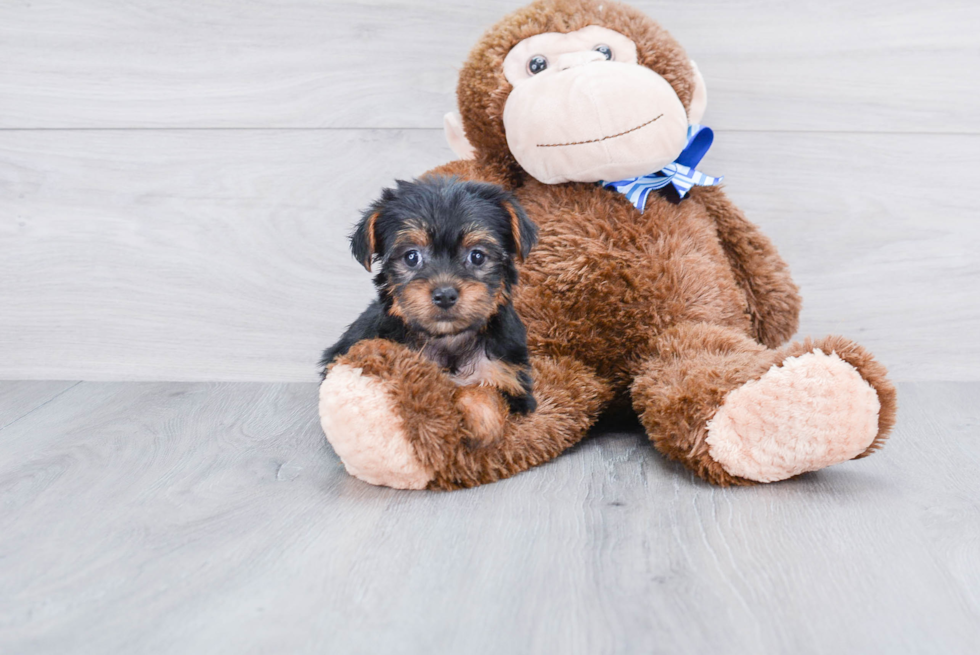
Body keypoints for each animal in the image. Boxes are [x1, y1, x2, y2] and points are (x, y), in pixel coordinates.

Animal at [322, 176, 540, 416]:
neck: (448, 339)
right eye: (411, 257)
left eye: (477, 256)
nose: (444, 295)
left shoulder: (508, 378)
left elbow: (485, 398)